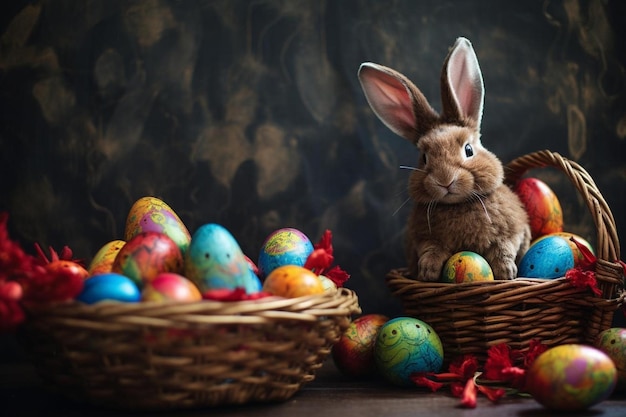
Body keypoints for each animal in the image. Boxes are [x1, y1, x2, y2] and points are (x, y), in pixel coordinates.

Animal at [358, 38, 528, 280]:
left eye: (468, 150)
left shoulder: (514, 231)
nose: (445, 180)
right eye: (424, 158)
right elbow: (432, 250)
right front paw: (427, 272)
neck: (457, 205)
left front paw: (507, 272)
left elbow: (504, 247)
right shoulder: (423, 240)